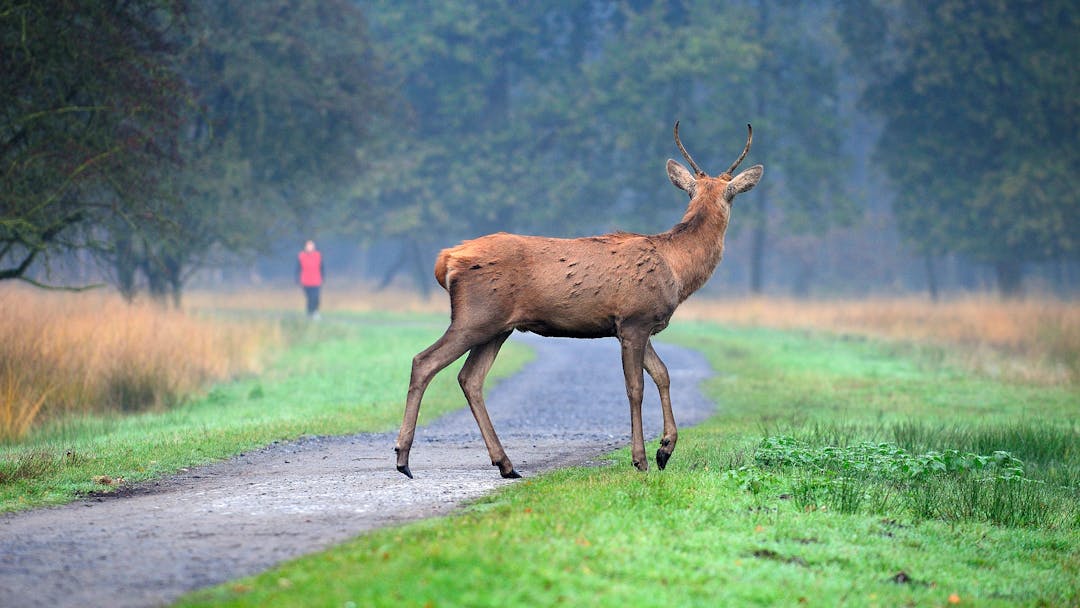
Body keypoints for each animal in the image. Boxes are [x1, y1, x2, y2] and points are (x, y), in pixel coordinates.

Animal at [395, 121, 760, 477]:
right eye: (731, 195)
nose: (657, 452)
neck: (677, 270)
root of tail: (446, 259)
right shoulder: (633, 319)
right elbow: (636, 387)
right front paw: (641, 458)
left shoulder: (636, 325)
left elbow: (663, 374)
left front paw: (665, 450)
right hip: (475, 316)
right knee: (424, 361)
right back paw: (403, 458)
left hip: (498, 327)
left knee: (470, 378)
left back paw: (506, 464)